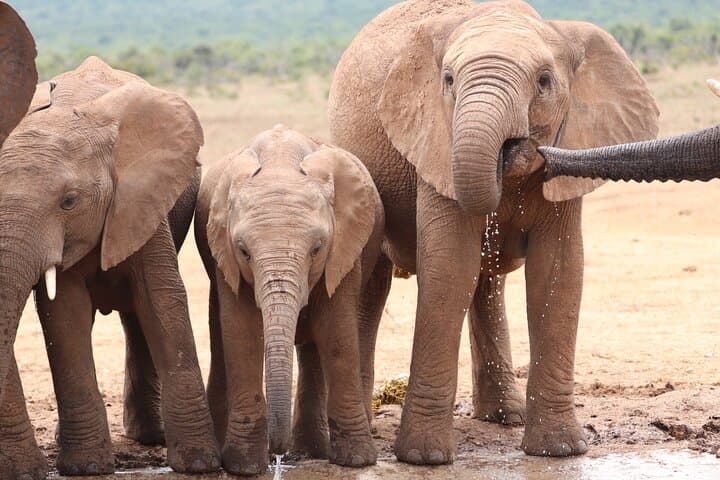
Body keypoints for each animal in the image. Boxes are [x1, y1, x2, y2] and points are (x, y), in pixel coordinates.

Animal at [0, 56, 221, 476]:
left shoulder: (142, 198)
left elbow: (162, 301)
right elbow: (63, 311)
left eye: (69, 201)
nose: (24, 470)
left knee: (137, 316)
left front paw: (200, 464)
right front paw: (88, 467)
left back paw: (151, 437)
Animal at [195, 125, 383, 475]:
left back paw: (312, 451)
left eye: (317, 249)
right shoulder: (224, 253)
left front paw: (357, 461)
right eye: (244, 251)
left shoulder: (345, 249)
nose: (277, 455)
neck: (280, 159)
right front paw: (244, 466)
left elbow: (337, 333)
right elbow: (242, 334)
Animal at [328, 0, 659, 464]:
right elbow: (451, 266)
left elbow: (557, 273)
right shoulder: (437, 142)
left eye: (544, 81)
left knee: (485, 284)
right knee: (373, 283)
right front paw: (425, 458)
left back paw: (505, 417)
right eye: (448, 80)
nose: (510, 150)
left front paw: (559, 451)